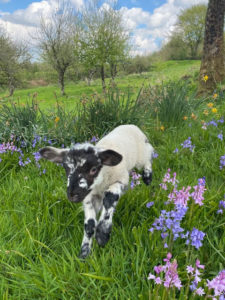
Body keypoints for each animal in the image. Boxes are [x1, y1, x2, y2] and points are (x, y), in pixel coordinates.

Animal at [39, 124, 154, 258]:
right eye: (66, 169)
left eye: (93, 169)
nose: (72, 195)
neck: (101, 183)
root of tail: (130, 125)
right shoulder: (89, 196)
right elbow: (89, 224)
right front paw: (84, 253)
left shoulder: (120, 181)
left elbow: (109, 198)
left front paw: (102, 234)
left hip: (141, 154)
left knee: (148, 157)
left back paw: (147, 177)